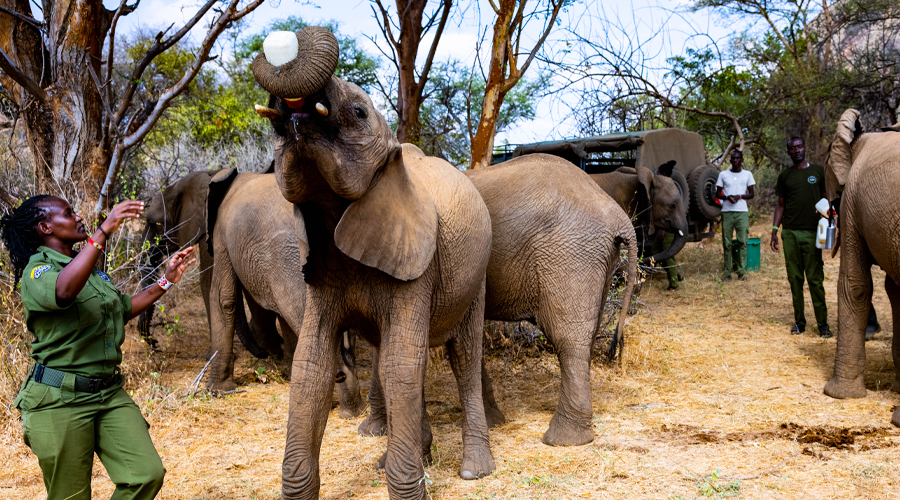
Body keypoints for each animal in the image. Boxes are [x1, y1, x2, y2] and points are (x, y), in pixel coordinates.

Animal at [251, 26, 495, 499]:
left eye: (359, 112)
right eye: (272, 125)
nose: (282, 43)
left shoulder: (419, 263)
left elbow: (402, 364)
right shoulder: (320, 266)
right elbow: (312, 365)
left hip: (474, 274)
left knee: (463, 355)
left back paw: (475, 470)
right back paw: (403, 458)